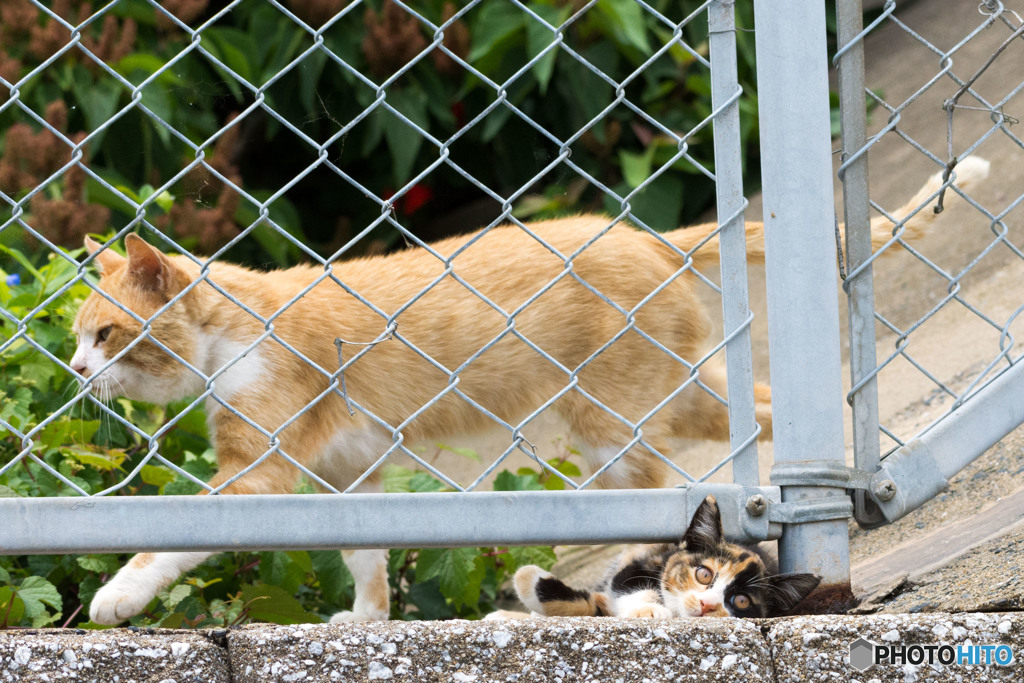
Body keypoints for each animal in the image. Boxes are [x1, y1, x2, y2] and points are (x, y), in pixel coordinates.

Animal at [516, 497, 819, 618]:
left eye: (742, 601)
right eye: (704, 574)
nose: (707, 605)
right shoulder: (643, 562)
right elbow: (629, 585)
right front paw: (648, 610)